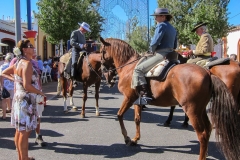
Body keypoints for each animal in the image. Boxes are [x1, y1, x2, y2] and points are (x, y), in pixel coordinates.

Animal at [99, 37, 240, 160]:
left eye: (101, 51)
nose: (103, 69)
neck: (129, 67)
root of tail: (208, 73)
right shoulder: (136, 101)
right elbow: (137, 119)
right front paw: (135, 139)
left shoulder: (129, 97)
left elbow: (119, 115)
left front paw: (127, 138)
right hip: (200, 110)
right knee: (209, 128)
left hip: (192, 110)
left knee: (203, 134)